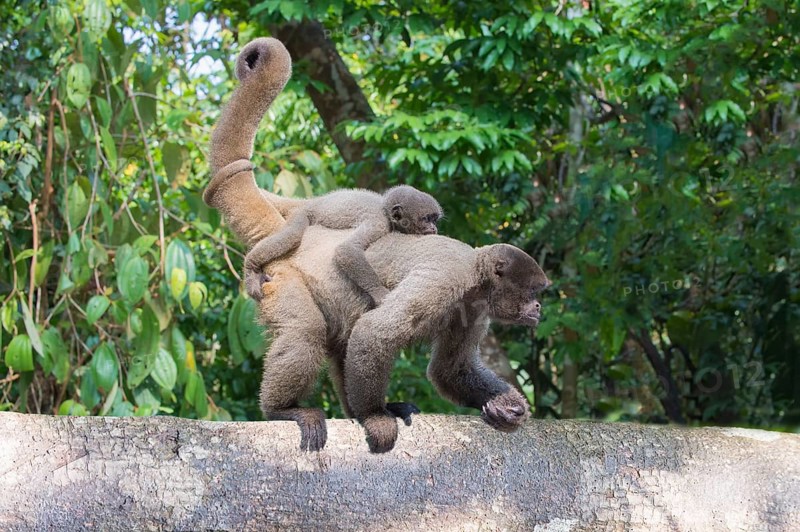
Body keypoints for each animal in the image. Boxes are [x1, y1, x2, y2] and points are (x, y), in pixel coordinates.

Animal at [242, 184, 443, 305]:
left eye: (435, 219)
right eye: (426, 219)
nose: (434, 228)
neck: (386, 211)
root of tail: (313, 201)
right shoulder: (378, 222)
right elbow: (346, 251)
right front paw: (379, 293)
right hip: (302, 213)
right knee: (292, 235)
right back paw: (251, 268)